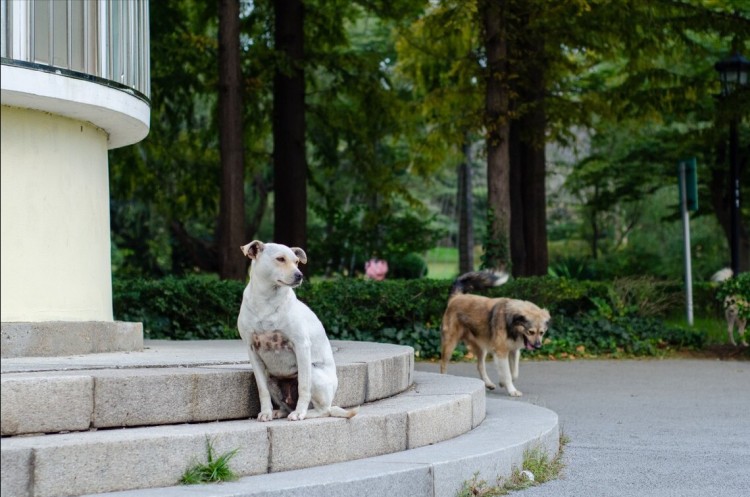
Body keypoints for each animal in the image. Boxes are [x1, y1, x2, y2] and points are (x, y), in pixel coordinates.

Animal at [239, 240, 360, 422]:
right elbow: (262, 390)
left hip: (314, 373)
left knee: (324, 410)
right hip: (271, 379)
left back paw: (303, 413)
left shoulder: (301, 345)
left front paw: (299, 413)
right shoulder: (252, 350)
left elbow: (303, 386)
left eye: (296, 261)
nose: (300, 275)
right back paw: (279, 412)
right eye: (280, 259)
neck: (267, 300)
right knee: (284, 404)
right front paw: (266, 412)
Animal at [440, 270, 552, 398]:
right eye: (531, 332)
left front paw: (503, 383)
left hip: (481, 347)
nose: (538, 346)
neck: (511, 323)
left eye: (542, 332)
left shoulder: (514, 351)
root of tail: (456, 297)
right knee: (443, 364)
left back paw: (488, 383)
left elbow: (514, 373)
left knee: (480, 366)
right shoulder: (501, 352)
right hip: (450, 344)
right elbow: (508, 373)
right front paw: (512, 390)